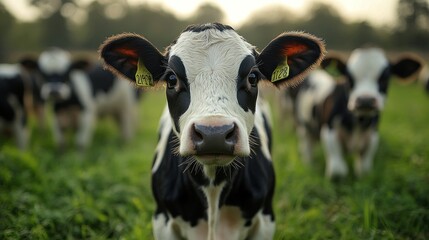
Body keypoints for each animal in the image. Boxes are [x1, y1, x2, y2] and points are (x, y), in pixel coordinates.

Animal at [290, 47, 420, 179]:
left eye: (385, 78)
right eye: (349, 78)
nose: (365, 100)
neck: (358, 122)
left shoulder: (373, 137)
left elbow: (364, 170)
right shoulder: (329, 132)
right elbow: (338, 171)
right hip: (303, 127)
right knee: (307, 148)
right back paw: (309, 166)